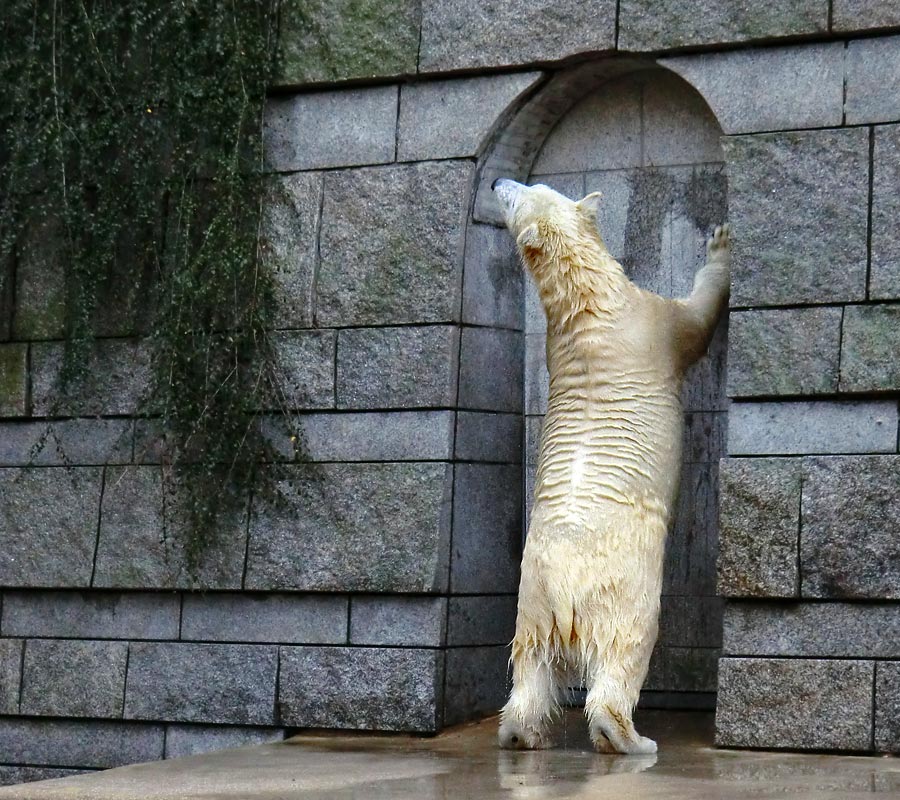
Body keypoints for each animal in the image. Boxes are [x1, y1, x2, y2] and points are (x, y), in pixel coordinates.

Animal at [492, 178, 732, 752]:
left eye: (527, 188)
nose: (496, 182)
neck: (585, 305)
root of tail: (565, 590)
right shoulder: (652, 324)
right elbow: (695, 318)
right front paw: (721, 243)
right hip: (621, 590)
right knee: (626, 649)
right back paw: (628, 737)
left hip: (532, 603)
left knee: (531, 666)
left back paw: (520, 733)